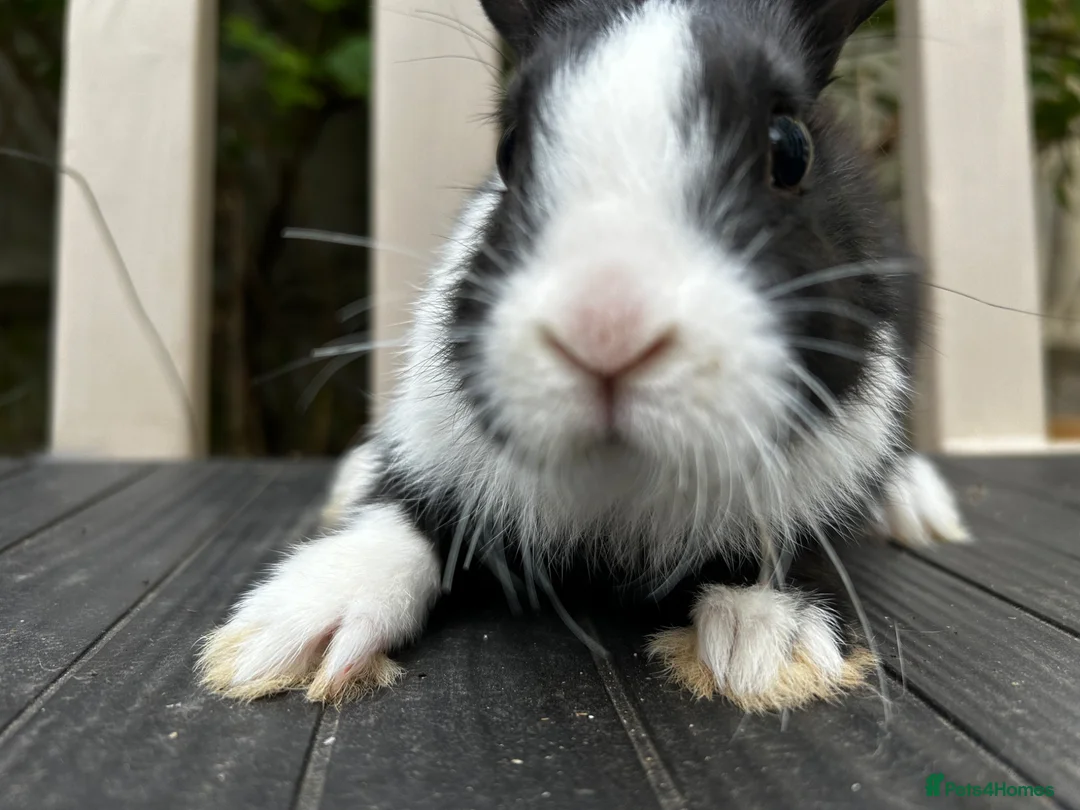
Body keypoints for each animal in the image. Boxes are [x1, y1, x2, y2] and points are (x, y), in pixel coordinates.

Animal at [198, 0, 971, 712]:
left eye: (790, 150)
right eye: (509, 151)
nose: (604, 328)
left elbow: (784, 548)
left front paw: (768, 641)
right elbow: (407, 519)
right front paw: (295, 627)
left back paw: (916, 504)